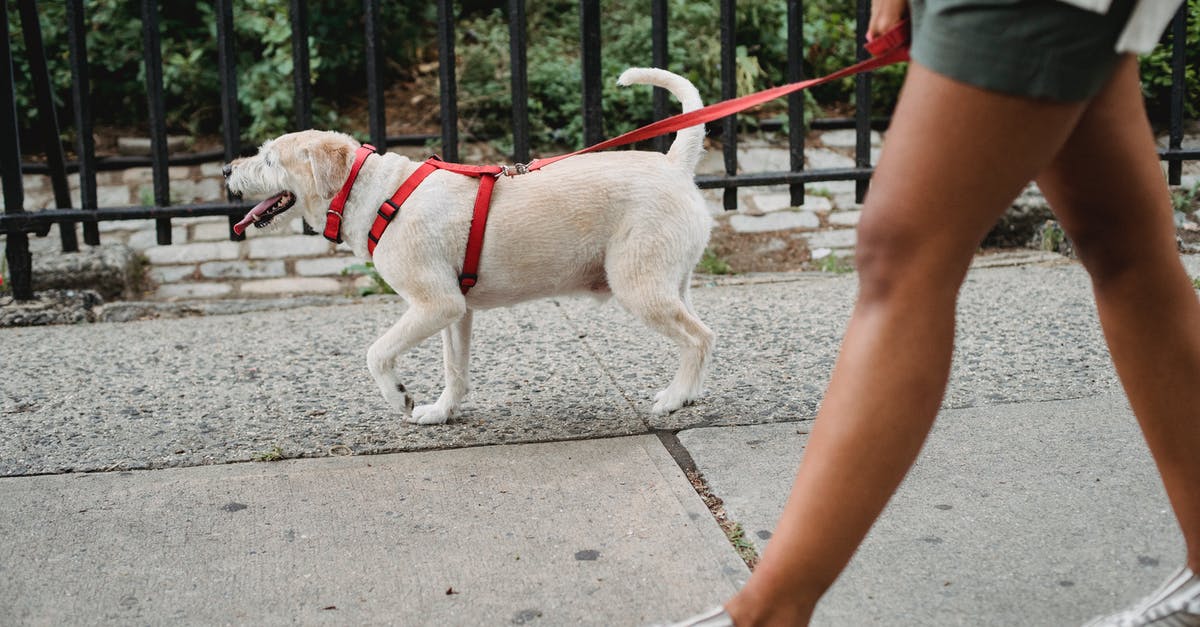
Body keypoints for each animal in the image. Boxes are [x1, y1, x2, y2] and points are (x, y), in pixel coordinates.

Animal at [225, 66, 710, 425]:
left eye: (269, 159)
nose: (227, 171)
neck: (376, 192)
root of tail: (675, 164)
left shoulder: (435, 304)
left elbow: (376, 353)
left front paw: (398, 397)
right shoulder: (455, 313)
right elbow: (454, 369)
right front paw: (441, 412)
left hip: (640, 286)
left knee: (699, 338)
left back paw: (674, 398)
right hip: (672, 283)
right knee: (700, 336)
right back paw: (688, 394)